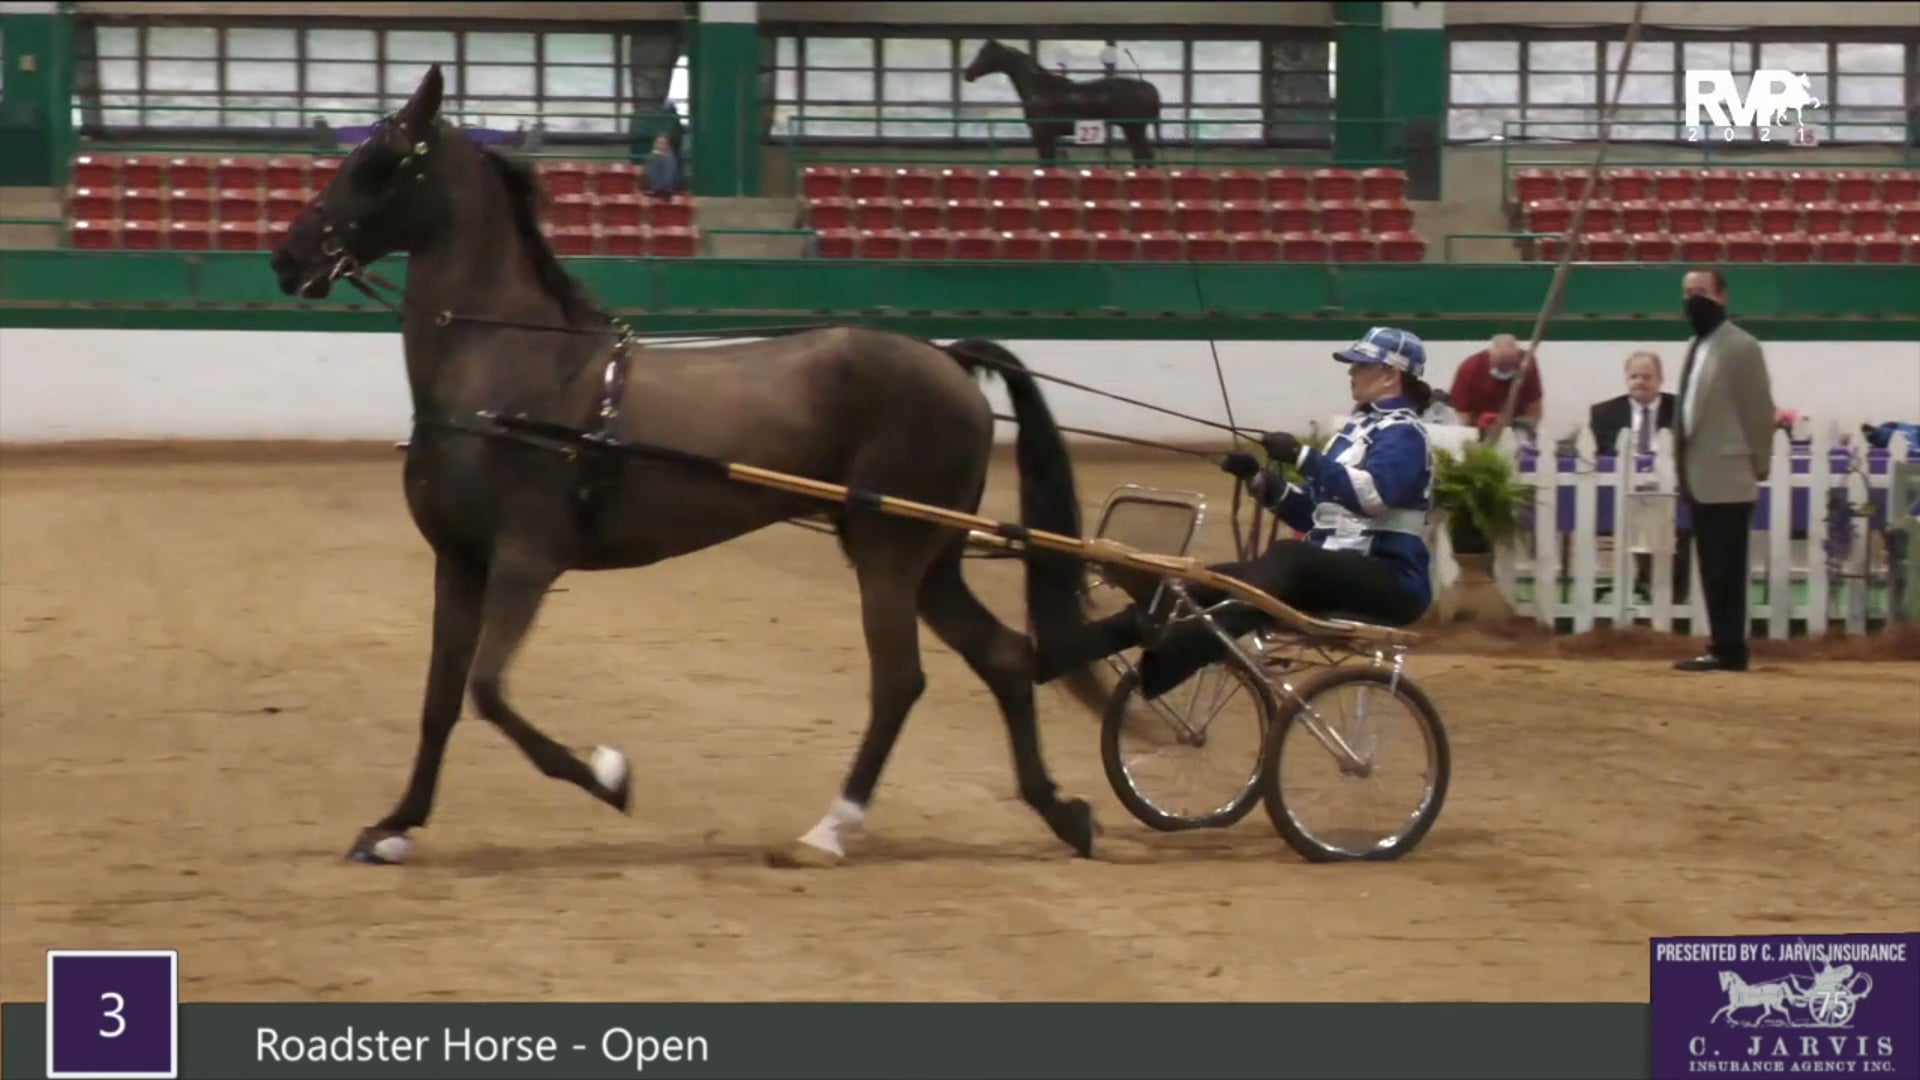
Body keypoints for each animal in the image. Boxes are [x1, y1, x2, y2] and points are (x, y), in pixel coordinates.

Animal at [266, 64, 1103, 869]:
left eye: (377, 162)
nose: (287, 257)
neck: (514, 373)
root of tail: (948, 359)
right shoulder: (460, 563)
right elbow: (441, 701)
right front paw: (394, 826)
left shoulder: (525, 559)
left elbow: (490, 689)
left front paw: (608, 776)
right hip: (930, 557)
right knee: (1005, 655)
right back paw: (1064, 813)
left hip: (888, 551)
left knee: (900, 681)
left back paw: (828, 832)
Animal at [962, 39, 1161, 164]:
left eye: (986, 54)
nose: (968, 74)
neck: (1038, 88)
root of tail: (1146, 85)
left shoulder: (1043, 135)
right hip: (1132, 130)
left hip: (1134, 129)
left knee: (1144, 156)